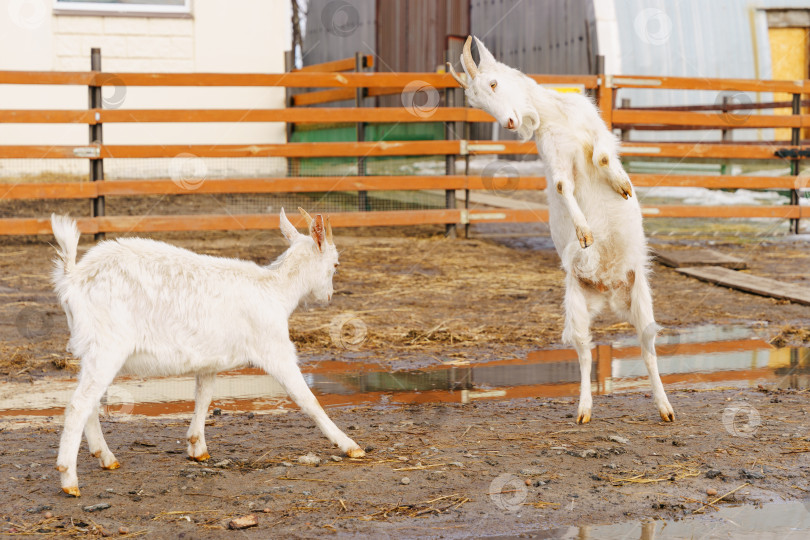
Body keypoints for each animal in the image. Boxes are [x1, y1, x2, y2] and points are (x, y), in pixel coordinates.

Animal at [49, 209, 362, 496]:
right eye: (335, 264)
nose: (329, 296)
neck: (275, 291)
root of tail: (73, 277)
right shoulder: (275, 348)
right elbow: (308, 400)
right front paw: (349, 445)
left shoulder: (210, 359)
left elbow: (204, 396)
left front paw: (197, 447)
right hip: (108, 346)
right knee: (78, 405)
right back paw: (69, 479)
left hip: (92, 350)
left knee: (88, 402)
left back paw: (105, 457)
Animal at [446, 37, 672, 426]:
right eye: (475, 103)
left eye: (493, 83)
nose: (509, 123)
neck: (553, 116)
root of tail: (609, 294)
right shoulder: (555, 158)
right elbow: (564, 186)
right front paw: (584, 233)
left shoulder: (593, 128)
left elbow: (601, 156)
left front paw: (621, 185)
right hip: (577, 303)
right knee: (585, 351)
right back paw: (584, 410)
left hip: (640, 296)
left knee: (647, 347)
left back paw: (665, 408)